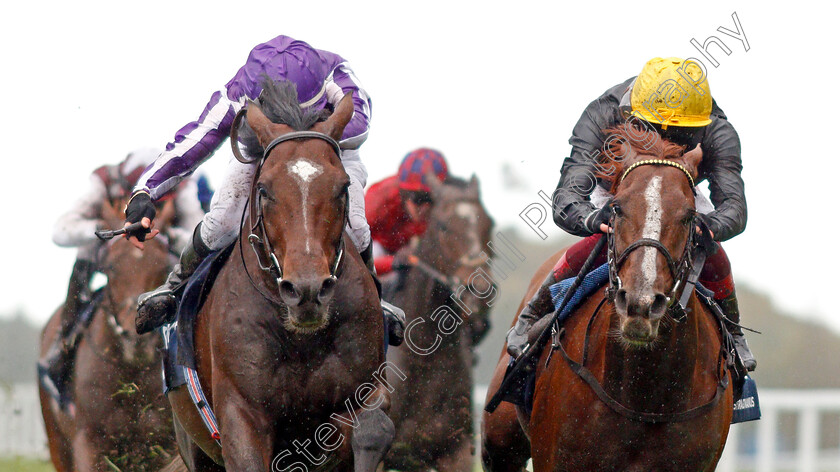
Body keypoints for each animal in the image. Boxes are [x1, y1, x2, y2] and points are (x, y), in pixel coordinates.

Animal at [40, 197, 177, 470]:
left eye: (164, 265)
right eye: (111, 266)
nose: (136, 339)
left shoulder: (164, 445)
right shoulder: (89, 443)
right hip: (57, 443)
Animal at [168, 79, 398, 470]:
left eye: (343, 187)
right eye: (264, 189)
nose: (307, 291)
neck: (301, 340)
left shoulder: (362, 388)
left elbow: (373, 426)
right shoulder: (241, 413)